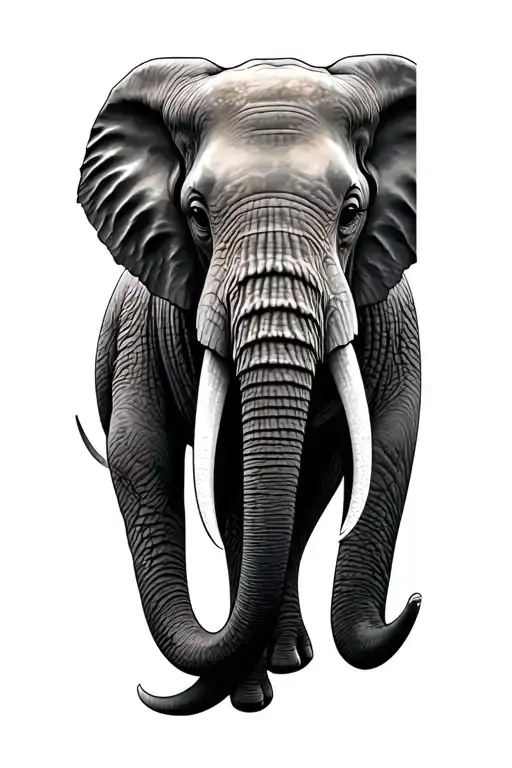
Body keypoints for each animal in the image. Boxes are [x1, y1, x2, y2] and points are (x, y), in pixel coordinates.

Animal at [76, 54, 421, 716]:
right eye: (196, 214)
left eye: (351, 211)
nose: (415, 601)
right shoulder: (142, 330)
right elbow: (141, 453)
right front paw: (248, 694)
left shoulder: (391, 311)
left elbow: (393, 436)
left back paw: (286, 662)